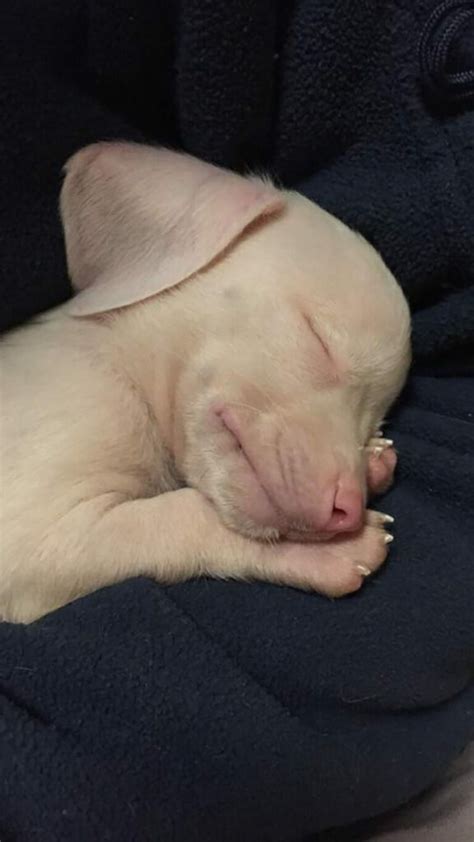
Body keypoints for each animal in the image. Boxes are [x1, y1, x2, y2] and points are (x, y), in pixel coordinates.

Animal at [0, 141, 412, 620]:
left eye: (375, 422)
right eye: (320, 339)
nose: (346, 510)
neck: (123, 367)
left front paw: (375, 461)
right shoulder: (36, 536)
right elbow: (179, 517)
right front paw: (335, 551)